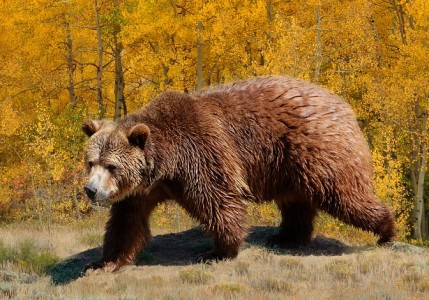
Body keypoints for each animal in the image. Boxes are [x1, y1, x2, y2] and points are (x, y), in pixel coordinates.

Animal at [81, 75, 394, 272]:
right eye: (91, 162)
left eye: (111, 166)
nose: (91, 190)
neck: (165, 164)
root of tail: (342, 104)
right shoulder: (141, 191)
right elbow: (126, 223)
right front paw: (102, 263)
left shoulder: (200, 153)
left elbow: (218, 199)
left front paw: (218, 251)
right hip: (289, 166)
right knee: (296, 202)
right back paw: (286, 236)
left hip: (316, 147)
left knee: (344, 194)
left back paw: (386, 230)